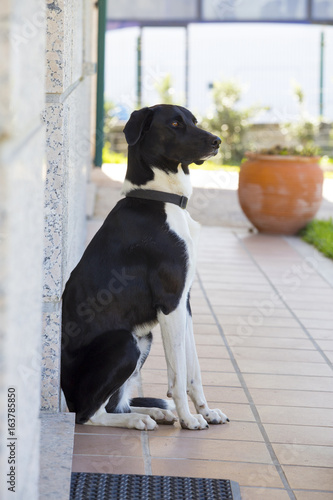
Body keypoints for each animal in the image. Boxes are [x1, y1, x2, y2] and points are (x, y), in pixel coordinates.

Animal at [61, 104, 228, 430]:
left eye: (194, 120)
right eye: (175, 123)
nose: (217, 141)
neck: (161, 198)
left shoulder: (185, 302)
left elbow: (193, 369)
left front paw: (206, 411)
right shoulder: (170, 302)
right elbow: (178, 374)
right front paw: (189, 419)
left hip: (143, 338)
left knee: (116, 405)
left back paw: (154, 412)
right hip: (126, 342)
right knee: (89, 415)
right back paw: (138, 420)